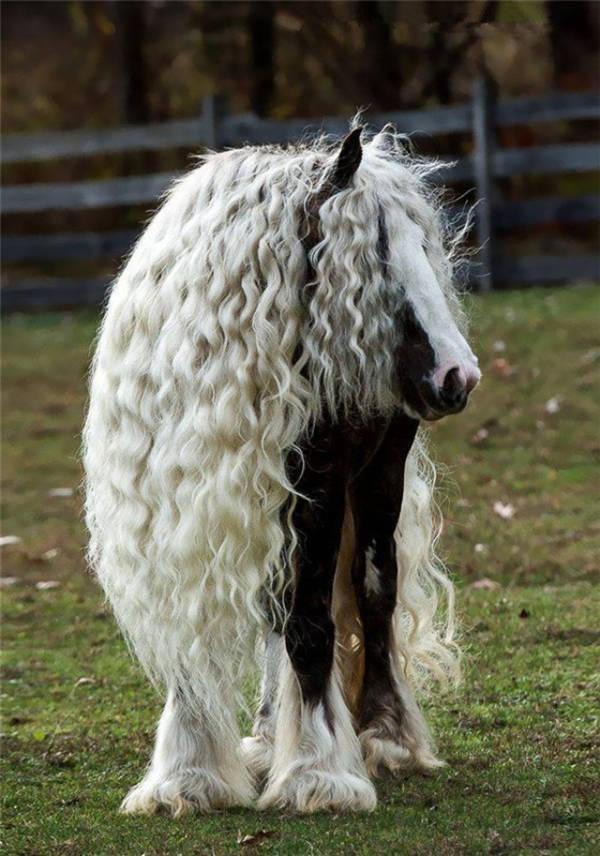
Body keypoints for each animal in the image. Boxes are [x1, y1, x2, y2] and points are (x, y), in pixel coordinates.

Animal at [83, 124, 481, 815]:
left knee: (373, 592)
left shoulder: (316, 489)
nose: (457, 376)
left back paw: (384, 737)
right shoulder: (180, 510)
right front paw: (187, 774)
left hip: (376, 477)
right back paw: (271, 736)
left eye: (424, 247)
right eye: (377, 254)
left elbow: (313, 623)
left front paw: (318, 771)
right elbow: (203, 628)